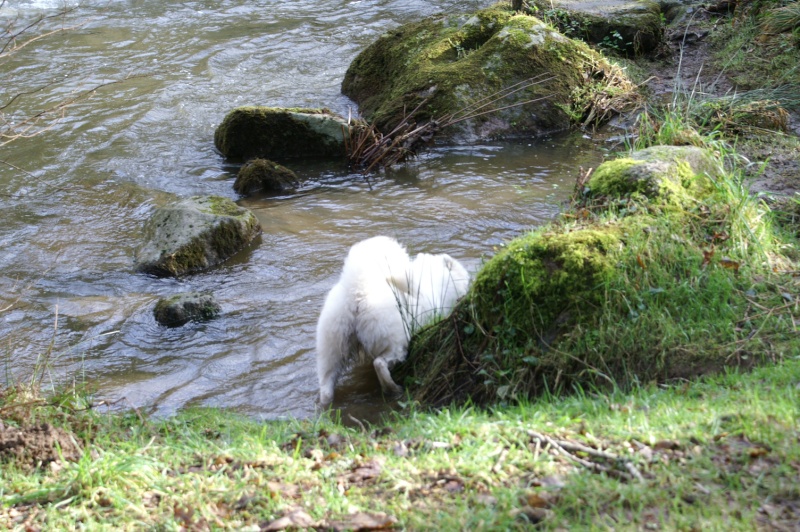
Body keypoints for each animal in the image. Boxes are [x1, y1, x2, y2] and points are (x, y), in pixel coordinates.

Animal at [316, 235, 468, 406]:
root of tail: (357, 292)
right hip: (395, 342)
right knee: (379, 364)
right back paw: (392, 389)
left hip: (332, 347)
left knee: (326, 384)